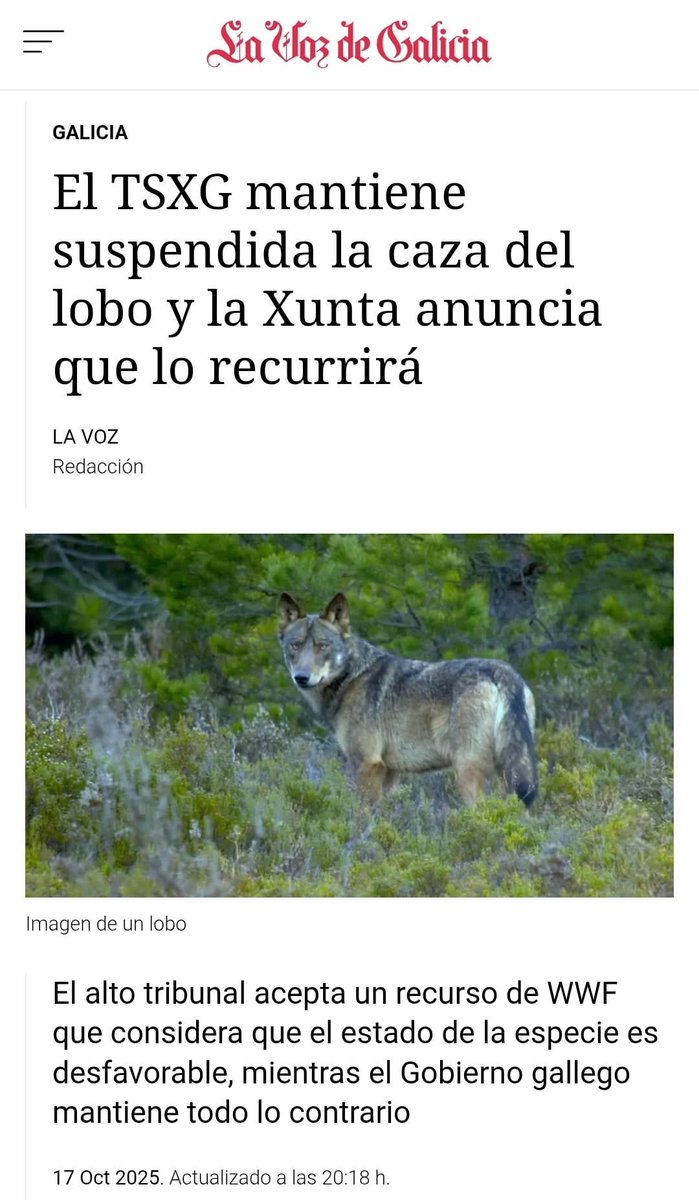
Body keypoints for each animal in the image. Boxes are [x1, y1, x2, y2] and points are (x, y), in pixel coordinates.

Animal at [278, 592, 537, 807]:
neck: (352, 676)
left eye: (323, 646)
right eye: (295, 645)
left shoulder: (367, 764)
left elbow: (360, 817)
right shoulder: (390, 772)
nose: (301, 677)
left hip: (467, 772)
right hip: (508, 775)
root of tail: (503, 672)